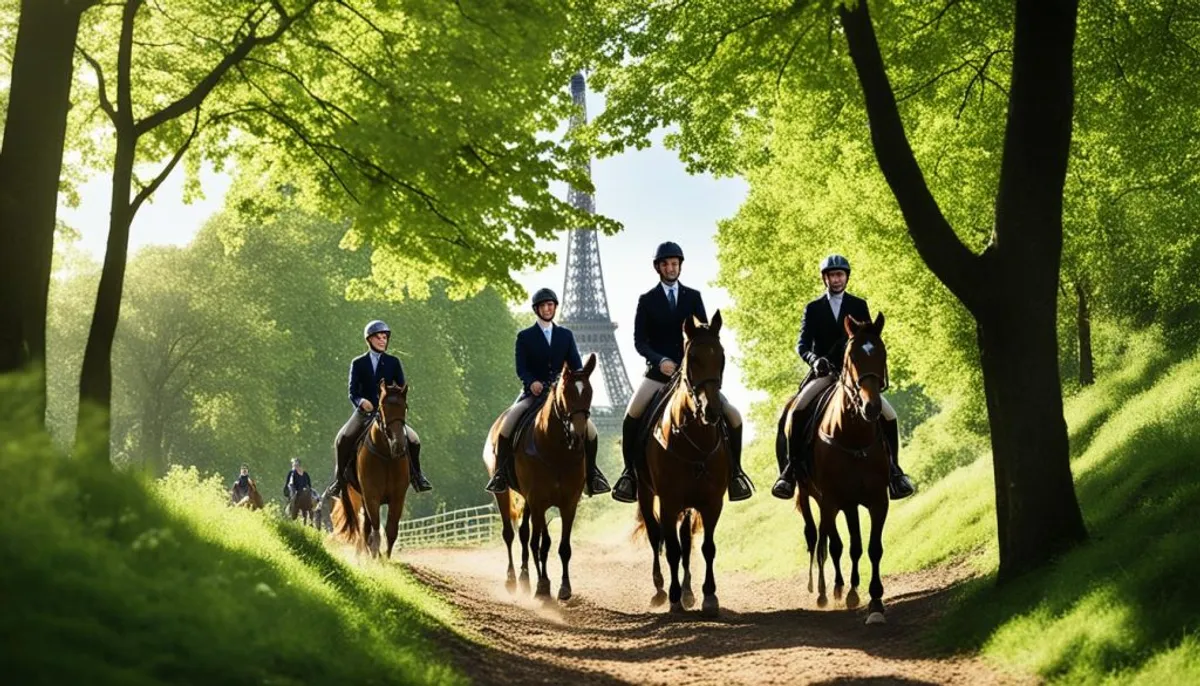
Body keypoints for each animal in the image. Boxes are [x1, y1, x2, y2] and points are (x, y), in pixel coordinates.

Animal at [333, 381, 412, 556]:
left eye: (404, 407)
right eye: (382, 407)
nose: (398, 445)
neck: (386, 455)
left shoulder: (398, 497)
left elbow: (391, 530)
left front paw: (385, 560)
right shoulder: (371, 496)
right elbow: (375, 531)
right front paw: (375, 556)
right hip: (356, 497)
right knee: (362, 528)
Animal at [484, 352, 597, 599]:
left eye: (590, 393)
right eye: (565, 393)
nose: (578, 437)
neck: (556, 450)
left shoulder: (568, 503)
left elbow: (562, 547)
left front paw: (564, 587)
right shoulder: (539, 501)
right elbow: (540, 543)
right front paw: (543, 585)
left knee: (525, 534)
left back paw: (525, 578)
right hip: (504, 493)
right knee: (510, 534)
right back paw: (512, 580)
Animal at [638, 311, 729, 614]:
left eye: (721, 357)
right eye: (693, 359)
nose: (712, 411)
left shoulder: (712, 502)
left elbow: (706, 547)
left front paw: (709, 596)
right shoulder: (668, 502)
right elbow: (671, 549)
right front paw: (674, 597)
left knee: (686, 542)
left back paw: (689, 592)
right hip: (646, 494)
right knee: (656, 538)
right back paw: (660, 591)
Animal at [787, 314, 892, 623]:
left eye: (882, 353)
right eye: (852, 356)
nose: (871, 408)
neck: (853, 435)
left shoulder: (877, 500)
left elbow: (872, 547)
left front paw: (875, 602)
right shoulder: (831, 500)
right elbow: (832, 545)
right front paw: (833, 591)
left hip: (848, 503)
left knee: (850, 544)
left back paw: (850, 590)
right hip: (812, 497)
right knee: (818, 540)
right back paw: (825, 591)